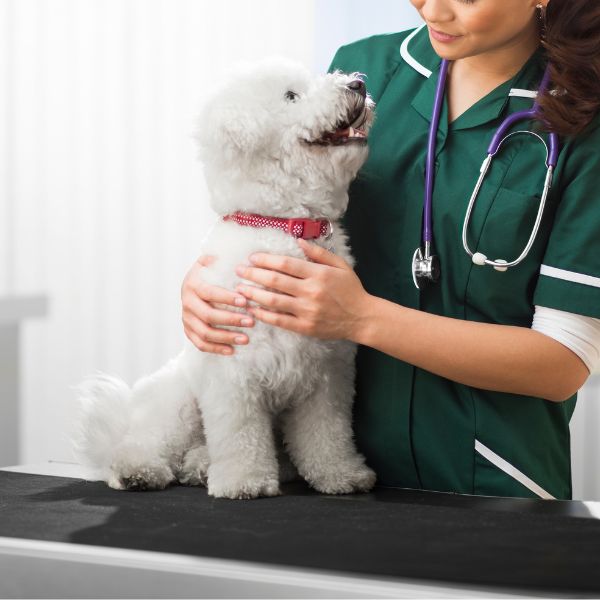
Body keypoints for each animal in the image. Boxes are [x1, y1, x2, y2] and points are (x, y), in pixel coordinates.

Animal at [72, 56, 376, 500]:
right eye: (291, 95)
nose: (358, 84)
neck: (283, 225)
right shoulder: (233, 373)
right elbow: (240, 435)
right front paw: (243, 481)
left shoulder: (327, 376)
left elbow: (328, 434)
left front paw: (341, 475)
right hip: (179, 404)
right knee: (141, 444)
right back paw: (139, 470)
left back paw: (200, 467)